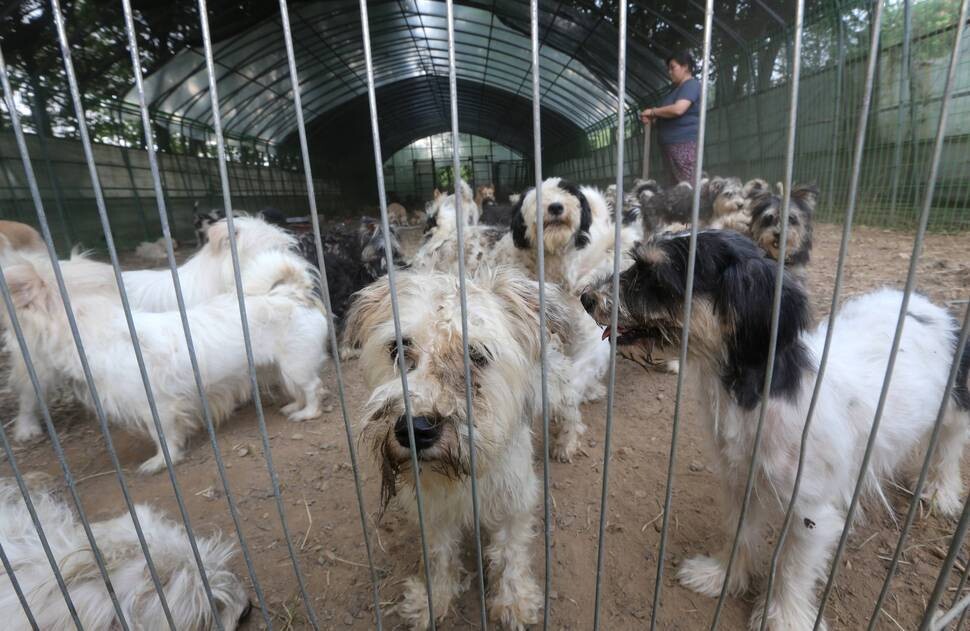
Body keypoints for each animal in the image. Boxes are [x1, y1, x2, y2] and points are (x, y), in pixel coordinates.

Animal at [0, 249, 328, 472]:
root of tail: (292, 293)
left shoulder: (157, 406)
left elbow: (164, 437)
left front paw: (162, 461)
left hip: (296, 365)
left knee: (313, 388)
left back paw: (307, 413)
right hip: (280, 368)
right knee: (299, 390)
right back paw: (294, 407)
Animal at [580, 232, 964, 631]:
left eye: (655, 277)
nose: (585, 298)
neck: (758, 393)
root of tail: (927, 305)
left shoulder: (812, 513)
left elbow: (792, 568)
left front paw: (784, 618)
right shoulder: (741, 482)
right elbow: (738, 534)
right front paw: (721, 577)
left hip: (954, 406)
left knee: (950, 444)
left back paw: (941, 491)